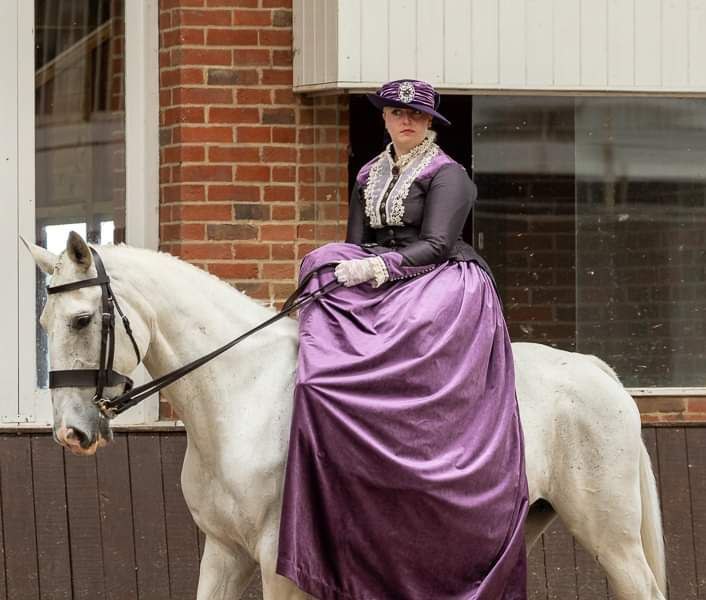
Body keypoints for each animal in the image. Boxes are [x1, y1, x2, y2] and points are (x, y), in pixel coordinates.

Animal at [24, 234, 664, 600]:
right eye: (43, 323)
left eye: (82, 319)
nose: (71, 433)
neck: (241, 395)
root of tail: (598, 373)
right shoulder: (224, 551)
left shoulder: (278, 562)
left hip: (611, 536)